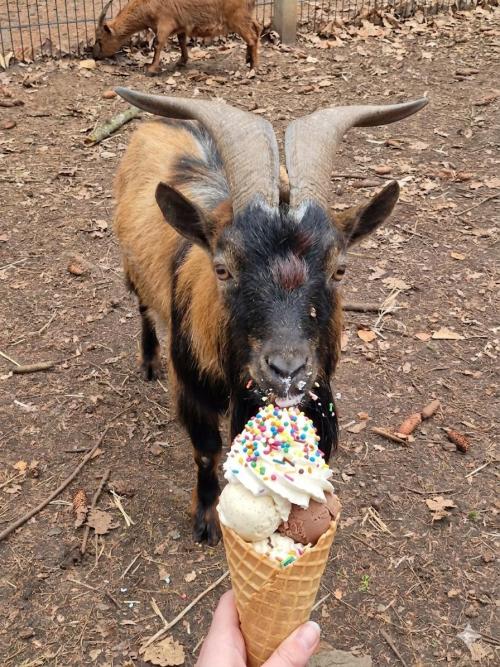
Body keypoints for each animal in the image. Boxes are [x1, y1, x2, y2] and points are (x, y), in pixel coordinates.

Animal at [93, 0, 260, 75]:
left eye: (99, 39)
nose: (94, 56)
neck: (146, 6)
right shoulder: (181, 25)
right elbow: (181, 41)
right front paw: (182, 61)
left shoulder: (164, 23)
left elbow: (158, 43)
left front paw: (151, 68)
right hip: (246, 16)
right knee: (257, 29)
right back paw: (248, 59)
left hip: (237, 18)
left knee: (252, 37)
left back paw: (253, 68)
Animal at [112, 88, 428, 544]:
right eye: (223, 268)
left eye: (339, 269)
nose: (287, 371)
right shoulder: (192, 386)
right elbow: (207, 451)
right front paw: (206, 519)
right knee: (141, 307)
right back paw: (149, 362)